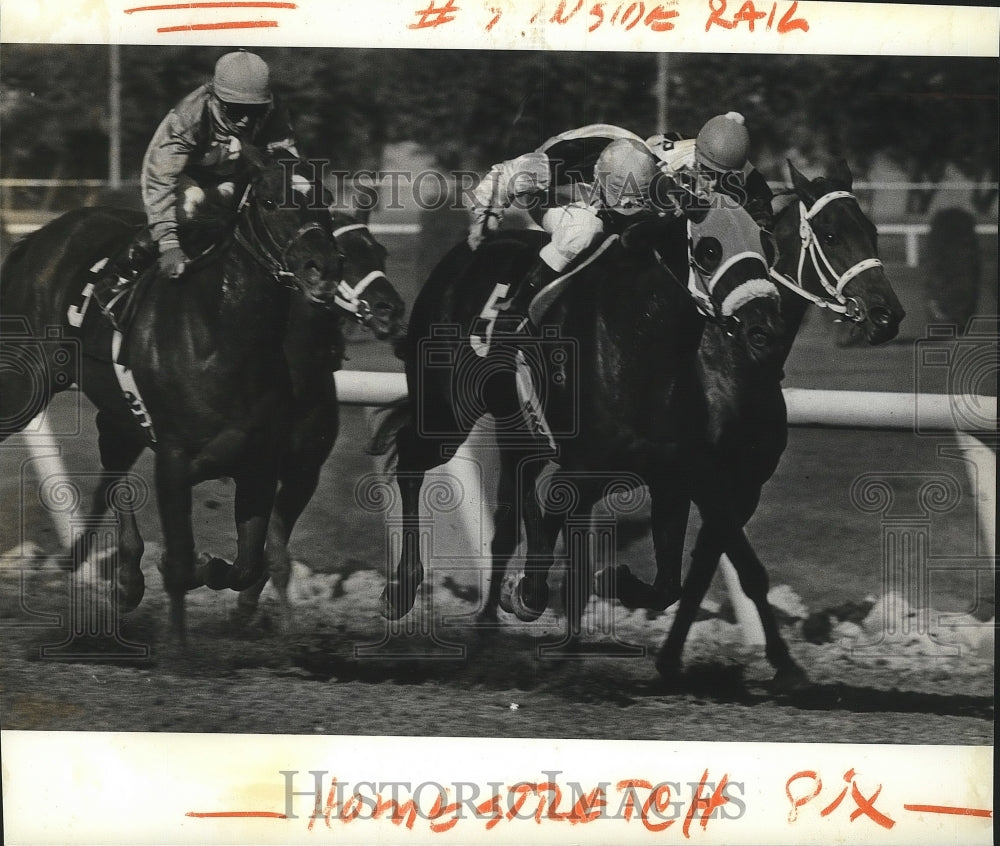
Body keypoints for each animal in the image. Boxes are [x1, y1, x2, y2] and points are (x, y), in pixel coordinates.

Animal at [2, 147, 402, 644]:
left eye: (378, 251)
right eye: (269, 201)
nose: (389, 308)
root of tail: (40, 236)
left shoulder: (287, 468)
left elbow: (260, 557)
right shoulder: (181, 457)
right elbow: (204, 552)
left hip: (118, 410)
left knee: (113, 468)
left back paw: (125, 575)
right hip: (25, 383)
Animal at [376, 200, 780, 636]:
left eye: (767, 245)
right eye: (709, 250)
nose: (764, 328)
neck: (643, 342)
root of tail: (465, 253)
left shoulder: (673, 479)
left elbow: (667, 585)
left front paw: (610, 580)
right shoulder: (584, 467)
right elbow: (556, 515)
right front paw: (530, 591)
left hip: (516, 425)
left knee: (514, 495)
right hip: (446, 411)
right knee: (411, 458)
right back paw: (401, 589)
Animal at [588, 159, 912, 688]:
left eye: (873, 231)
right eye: (829, 234)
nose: (889, 315)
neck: (734, 361)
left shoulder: (744, 483)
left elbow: (718, 570)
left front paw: (773, 662)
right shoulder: (695, 478)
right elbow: (715, 569)